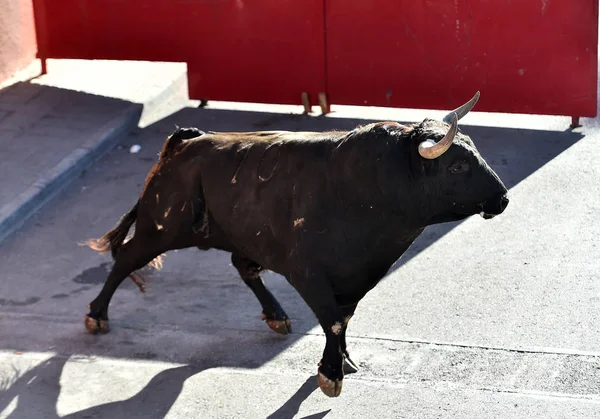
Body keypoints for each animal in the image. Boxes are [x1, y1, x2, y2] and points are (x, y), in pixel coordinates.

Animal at [83, 92, 506, 398]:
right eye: (457, 166)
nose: (501, 199)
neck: (374, 188)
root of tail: (188, 140)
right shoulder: (308, 273)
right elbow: (332, 319)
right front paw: (331, 375)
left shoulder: (358, 275)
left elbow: (343, 318)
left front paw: (344, 361)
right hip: (161, 226)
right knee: (126, 258)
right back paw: (97, 316)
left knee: (243, 265)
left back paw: (276, 315)